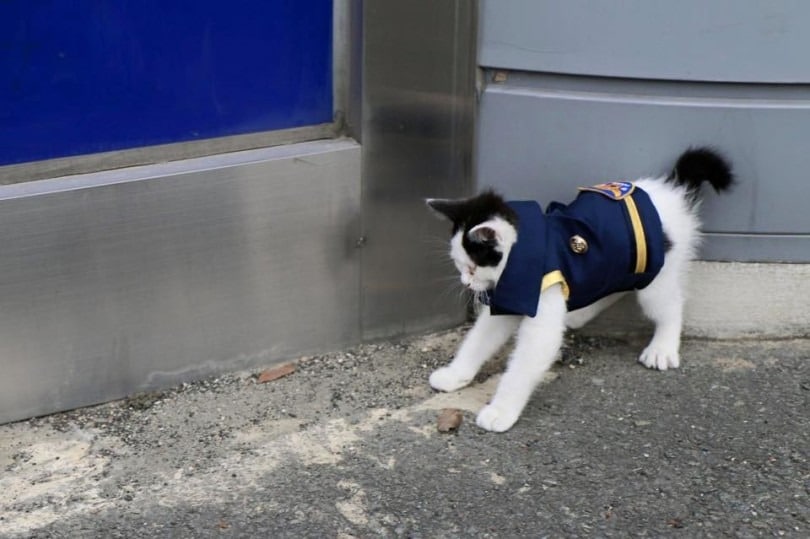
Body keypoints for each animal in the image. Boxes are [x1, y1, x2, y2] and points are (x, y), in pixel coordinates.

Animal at [426, 149, 728, 434]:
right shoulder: (514, 296)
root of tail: (672, 191)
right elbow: (479, 339)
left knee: (669, 304)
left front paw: (501, 411)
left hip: (658, 274)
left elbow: (526, 362)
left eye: (472, 268)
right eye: (460, 266)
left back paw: (662, 348)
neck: (523, 255)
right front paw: (455, 374)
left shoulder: (537, 298)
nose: (466, 283)